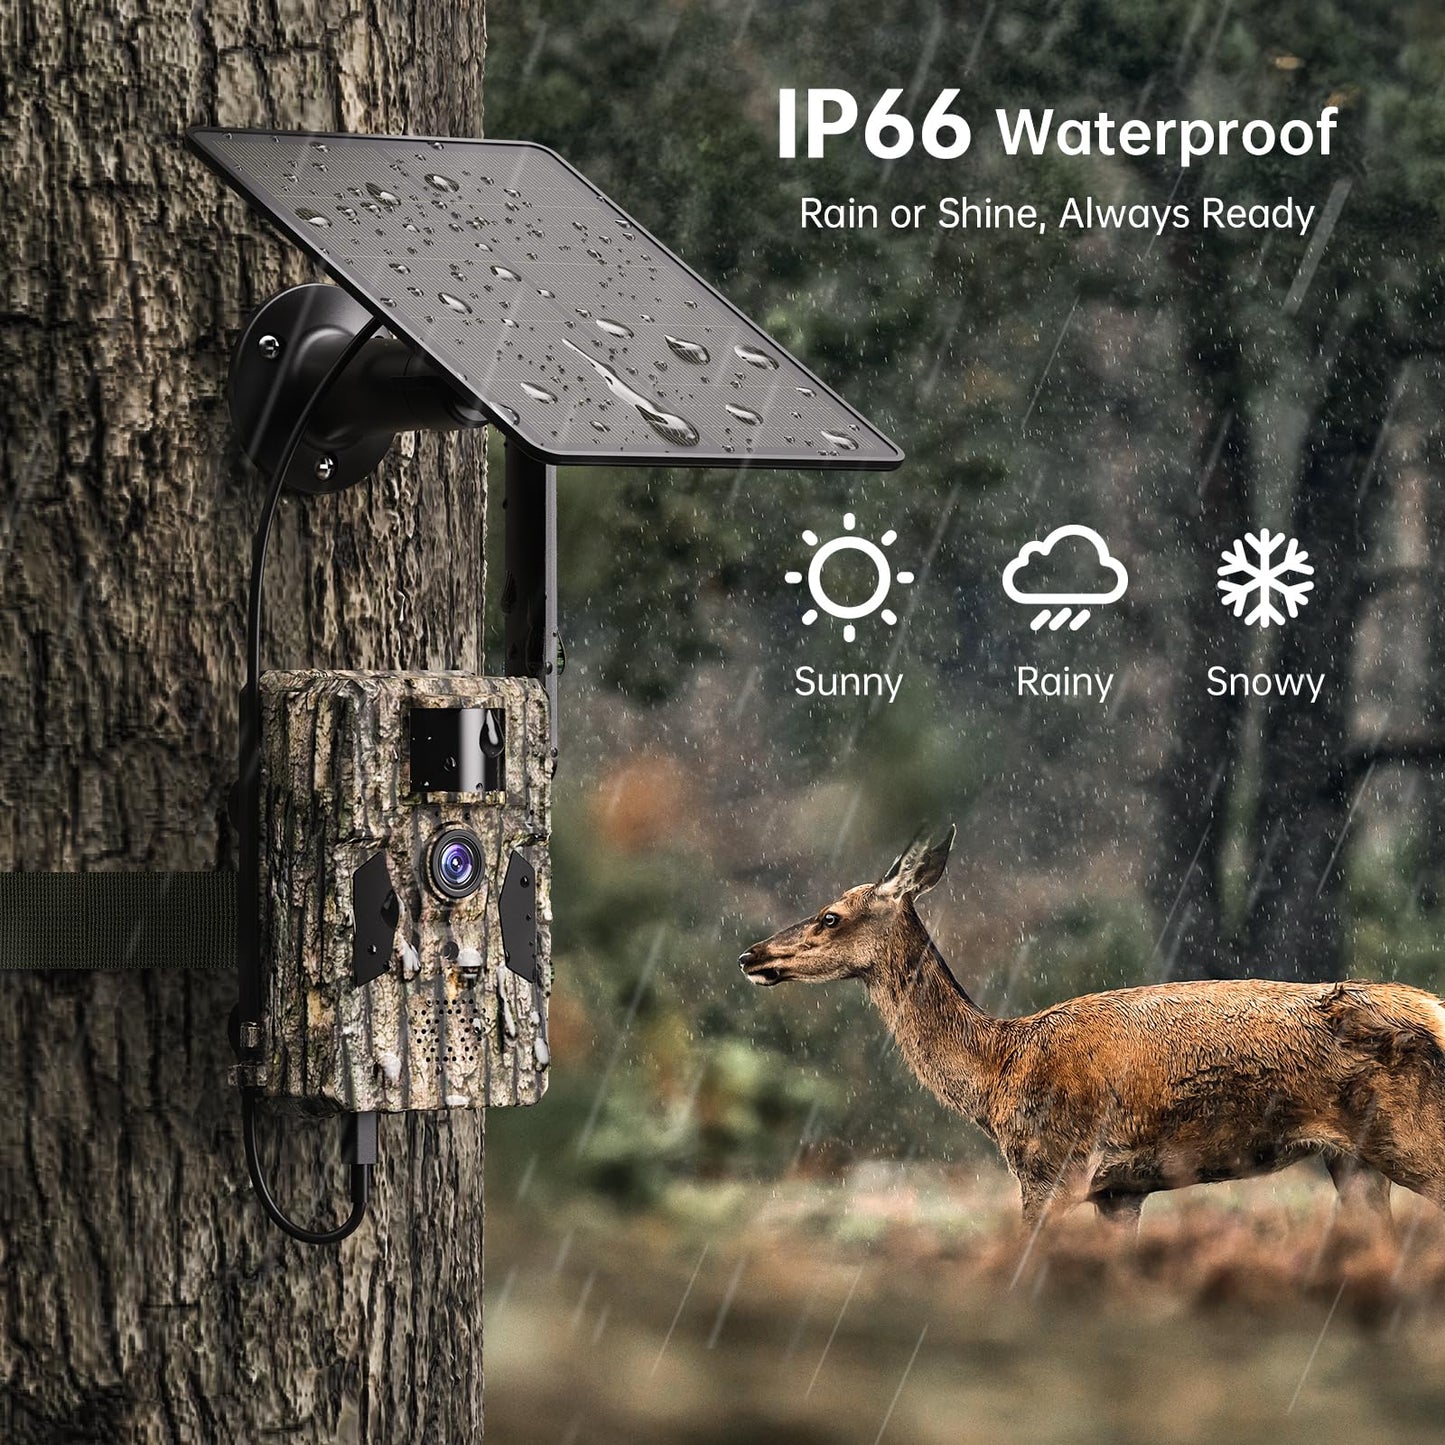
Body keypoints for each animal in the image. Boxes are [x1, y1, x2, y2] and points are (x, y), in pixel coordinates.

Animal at [739, 826, 1445, 1234]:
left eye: (830, 916)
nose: (751, 956)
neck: (997, 1070)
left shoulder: (1051, 1170)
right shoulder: (1120, 1191)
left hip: (1413, 1136)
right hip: (1354, 1162)